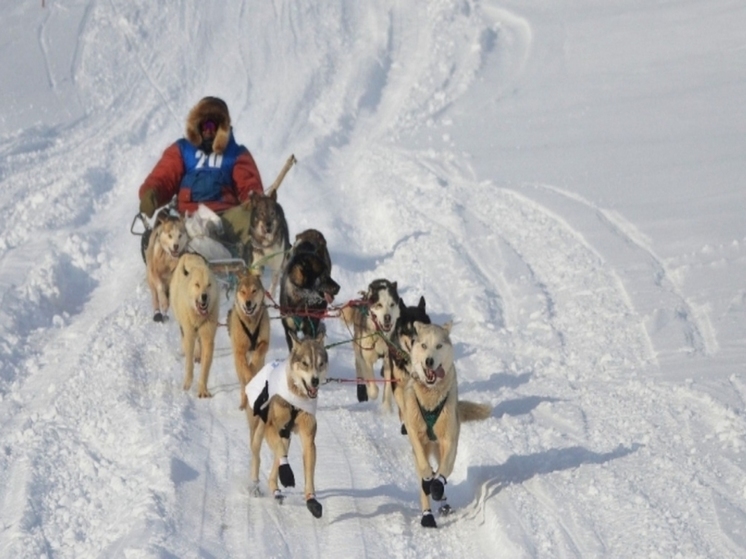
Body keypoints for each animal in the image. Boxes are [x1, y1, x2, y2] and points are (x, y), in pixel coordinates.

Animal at [167, 252, 217, 400]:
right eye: (197, 285)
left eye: (209, 285)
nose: (204, 296)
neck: (199, 316)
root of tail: (189, 253)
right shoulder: (189, 333)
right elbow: (189, 364)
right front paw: (188, 383)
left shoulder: (208, 336)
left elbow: (205, 367)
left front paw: (202, 389)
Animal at [230, 272, 274, 412]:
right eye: (243, 292)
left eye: (254, 291)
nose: (248, 302)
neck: (250, 322)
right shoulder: (239, 350)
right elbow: (246, 368)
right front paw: (249, 373)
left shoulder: (265, 342)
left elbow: (257, 354)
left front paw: (253, 366)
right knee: (243, 385)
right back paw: (244, 402)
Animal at [244, 330, 328, 520]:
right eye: (305, 363)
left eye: (320, 364)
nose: (315, 381)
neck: (296, 398)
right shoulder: (271, 427)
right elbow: (280, 454)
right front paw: (287, 475)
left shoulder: (308, 436)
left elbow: (309, 470)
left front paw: (311, 500)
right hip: (259, 430)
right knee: (257, 455)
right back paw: (255, 485)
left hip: (285, 436)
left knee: (277, 459)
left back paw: (275, 489)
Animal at [402, 322, 494, 528]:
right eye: (423, 345)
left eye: (438, 346)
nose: (429, 361)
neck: (430, 397)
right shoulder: (414, 433)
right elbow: (425, 470)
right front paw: (428, 479)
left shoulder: (449, 440)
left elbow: (444, 472)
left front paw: (437, 485)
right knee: (424, 479)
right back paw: (427, 515)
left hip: (441, 447)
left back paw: (443, 503)